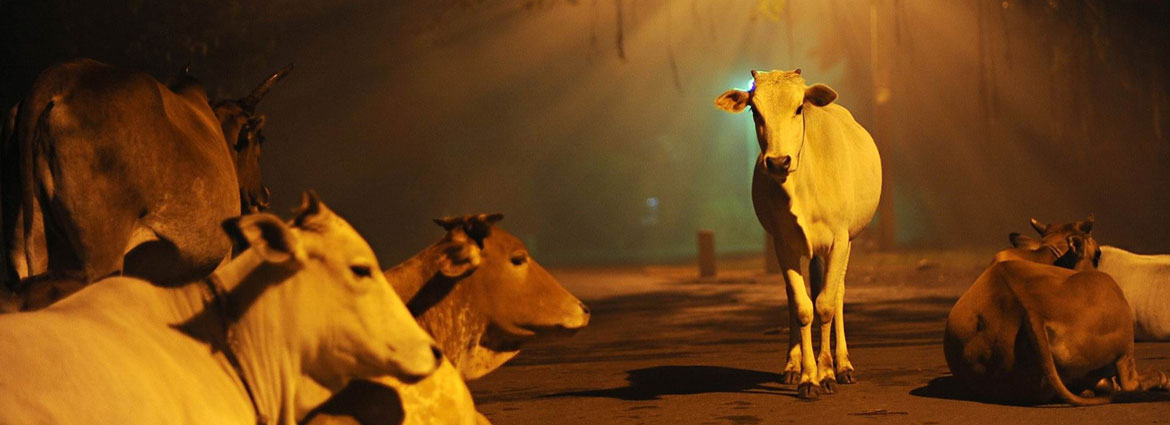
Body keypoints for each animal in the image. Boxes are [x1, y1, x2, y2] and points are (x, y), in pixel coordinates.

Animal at [1, 58, 290, 306]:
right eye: (260, 139)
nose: (263, 196)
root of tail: (60, 78)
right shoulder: (221, 259)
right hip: (101, 261)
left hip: (26, 254)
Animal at [715, 68, 882, 399]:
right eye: (755, 111)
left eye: (799, 107)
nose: (779, 162)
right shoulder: (784, 244)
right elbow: (802, 306)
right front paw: (807, 376)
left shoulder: (839, 240)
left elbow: (826, 304)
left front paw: (827, 372)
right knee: (799, 298)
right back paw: (792, 366)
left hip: (846, 243)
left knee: (837, 293)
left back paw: (843, 365)